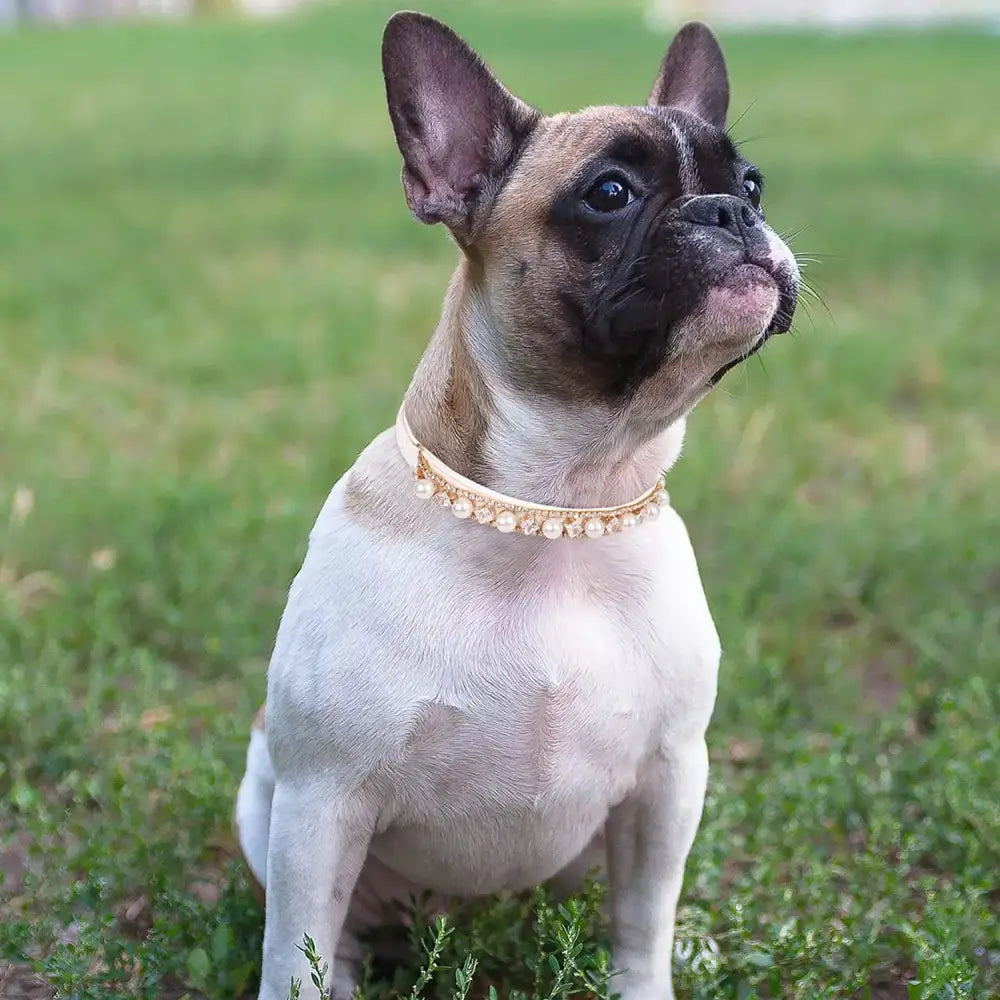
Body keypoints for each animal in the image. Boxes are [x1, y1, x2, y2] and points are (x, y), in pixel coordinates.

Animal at [234, 9, 796, 1000]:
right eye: (609, 193)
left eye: (752, 183)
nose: (732, 213)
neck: (563, 502)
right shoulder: (321, 799)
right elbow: (294, 947)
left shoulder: (668, 779)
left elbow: (643, 921)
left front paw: (652, 971)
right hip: (264, 803)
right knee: (332, 934)